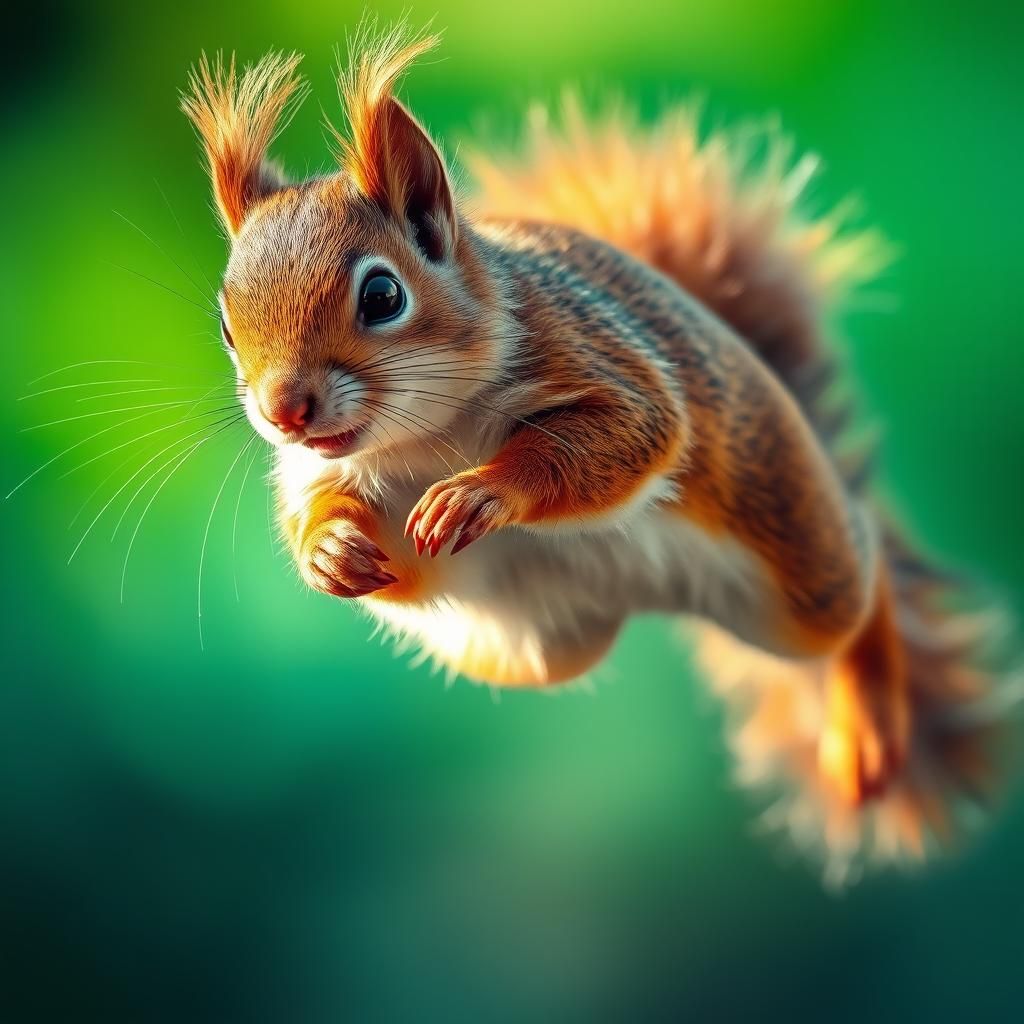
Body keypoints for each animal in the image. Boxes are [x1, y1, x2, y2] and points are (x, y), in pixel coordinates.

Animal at [182, 27, 1016, 882]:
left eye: (383, 296)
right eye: (225, 324)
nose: (284, 410)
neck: (426, 434)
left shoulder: (600, 364)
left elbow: (628, 433)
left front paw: (483, 492)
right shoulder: (323, 473)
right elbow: (340, 528)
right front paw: (331, 550)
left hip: (797, 553)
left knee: (864, 586)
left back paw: (867, 727)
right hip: (537, 648)